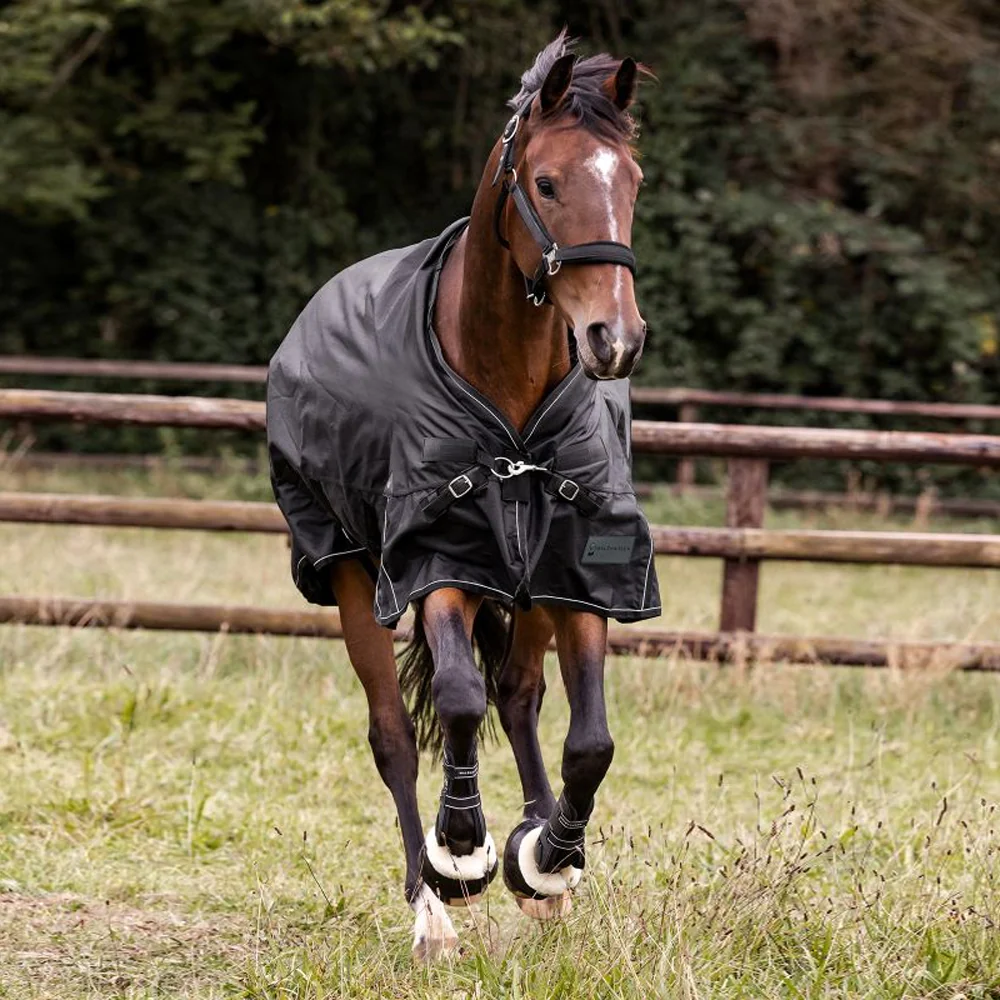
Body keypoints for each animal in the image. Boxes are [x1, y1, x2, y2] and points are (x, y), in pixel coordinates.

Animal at [266, 32, 658, 960]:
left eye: (631, 181)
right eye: (546, 182)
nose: (614, 339)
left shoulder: (576, 569)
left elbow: (590, 740)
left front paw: (547, 856)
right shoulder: (435, 561)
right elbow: (453, 701)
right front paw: (462, 849)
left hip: (526, 585)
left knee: (517, 697)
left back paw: (541, 874)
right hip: (350, 569)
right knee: (396, 733)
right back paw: (429, 904)